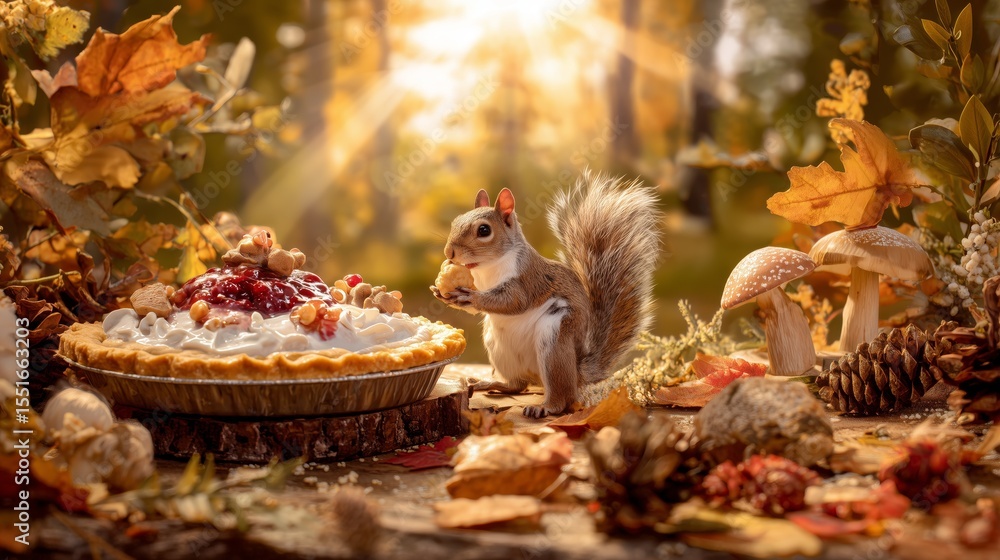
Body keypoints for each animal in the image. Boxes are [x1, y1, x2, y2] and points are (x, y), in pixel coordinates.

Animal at [431, 171, 662, 417]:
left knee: (562, 398)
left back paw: (544, 407)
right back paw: (490, 383)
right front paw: (442, 293)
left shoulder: (527, 281)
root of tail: (577, 373)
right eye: (456, 221)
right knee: (518, 385)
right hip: (499, 348)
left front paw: (469, 297)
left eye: (484, 230)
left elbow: (513, 302)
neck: (486, 269)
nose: (449, 252)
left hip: (554, 340)